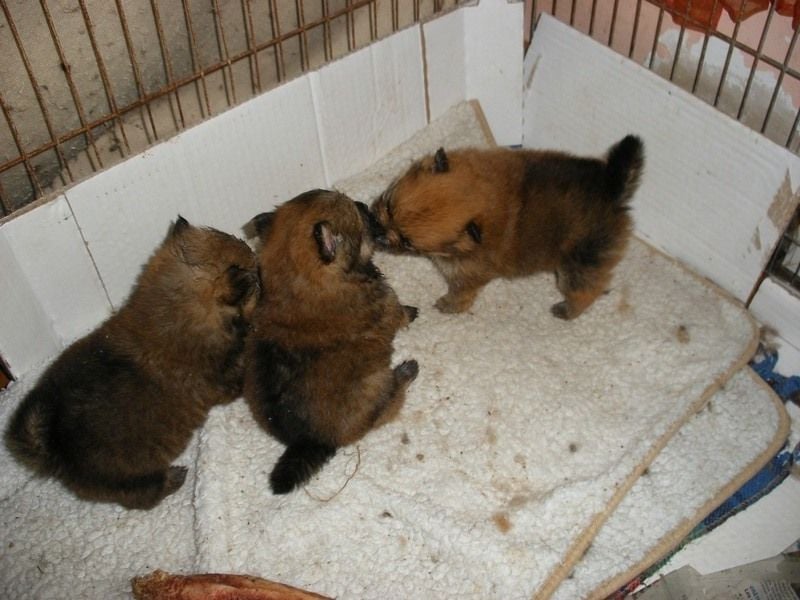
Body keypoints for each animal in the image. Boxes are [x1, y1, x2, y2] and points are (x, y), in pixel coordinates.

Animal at [3, 218, 260, 508]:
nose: (254, 255)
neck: (171, 309)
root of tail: (54, 448)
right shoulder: (219, 378)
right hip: (128, 480)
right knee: (144, 494)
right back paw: (173, 478)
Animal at [244, 190, 418, 494]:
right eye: (359, 216)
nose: (363, 205)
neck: (296, 281)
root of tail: (312, 440)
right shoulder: (388, 303)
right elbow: (400, 313)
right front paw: (411, 312)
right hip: (377, 385)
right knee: (390, 401)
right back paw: (407, 371)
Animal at [374, 137, 644, 322]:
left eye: (407, 242)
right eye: (387, 204)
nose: (378, 233)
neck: (487, 195)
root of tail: (611, 188)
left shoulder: (467, 275)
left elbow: (461, 293)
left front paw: (448, 305)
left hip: (577, 263)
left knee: (584, 290)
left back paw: (567, 310)